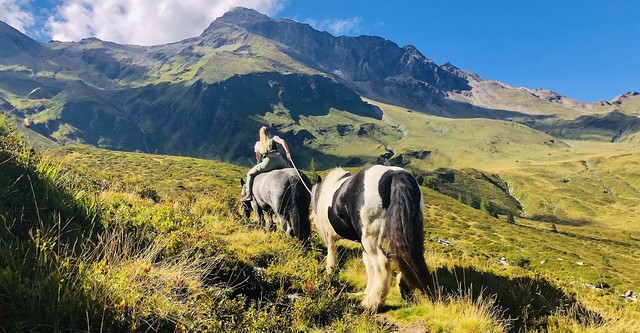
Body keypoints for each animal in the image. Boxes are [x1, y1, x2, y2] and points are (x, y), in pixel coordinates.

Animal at [312, 165, 436, 310]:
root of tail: (394, 174)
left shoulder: (331, 238)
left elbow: (331, 259)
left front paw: (329, 277)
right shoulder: (362, 243)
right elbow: (369, 266)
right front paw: (366, 292)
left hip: (371, 239)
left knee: (382, 263)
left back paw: (373, 304)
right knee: (407, 258)